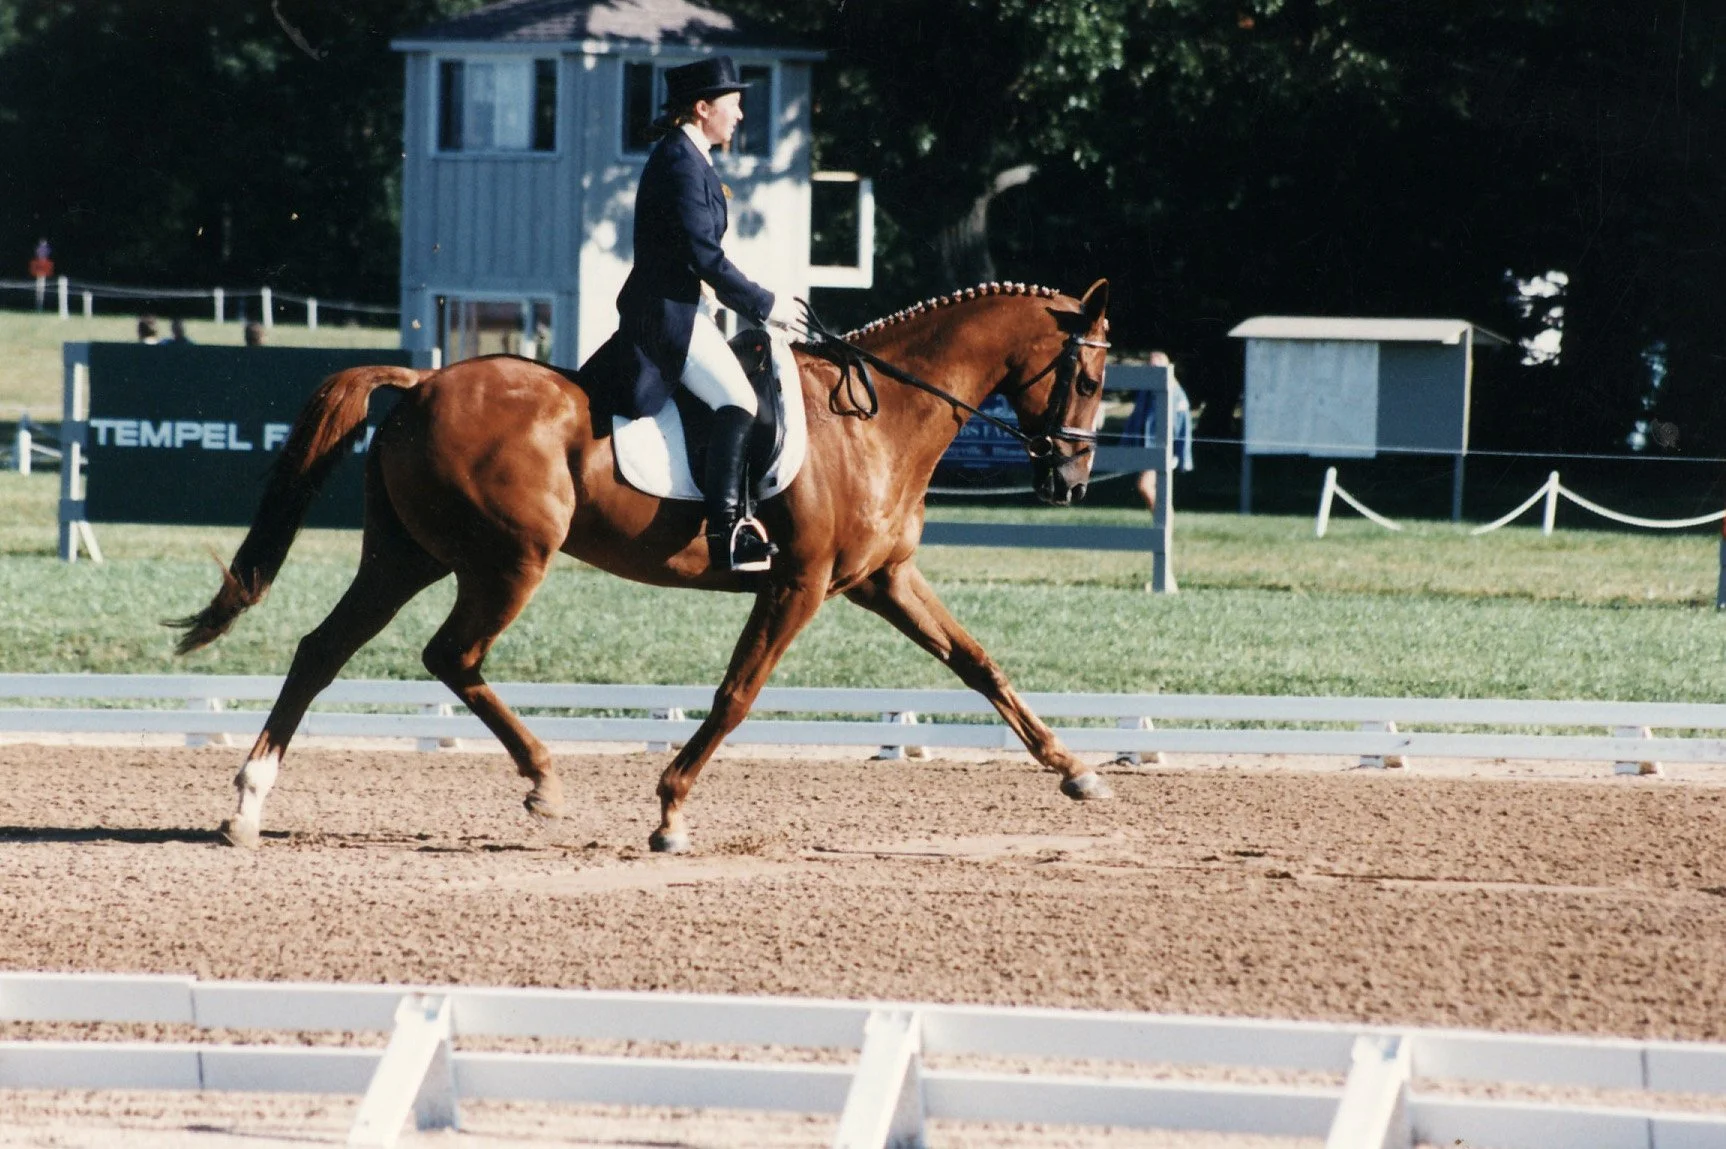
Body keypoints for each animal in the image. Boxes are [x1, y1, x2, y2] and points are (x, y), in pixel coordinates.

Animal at [171, 279, 1115, 854]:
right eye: (1090, 375)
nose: (1070, 479)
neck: (877, 419)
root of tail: (420, 383)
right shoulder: (798, 583)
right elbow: (736, 695)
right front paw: (669, 810)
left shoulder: (883, 580)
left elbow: (980, 664)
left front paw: (1077, 771)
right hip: (508, 559)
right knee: (451, 655)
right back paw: (544, 781)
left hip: (409, 555)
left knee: (322, 650)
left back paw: (248, 802)